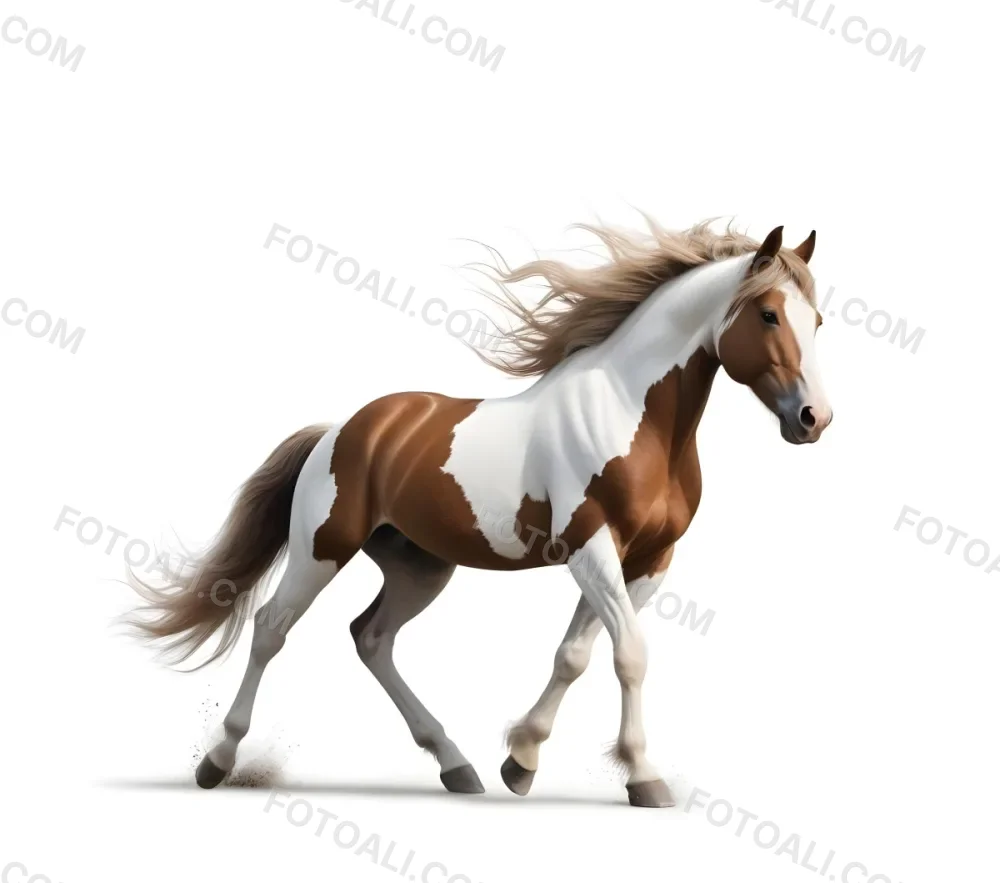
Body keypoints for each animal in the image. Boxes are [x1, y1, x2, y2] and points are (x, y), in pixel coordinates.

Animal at [126, 218, 833, 808]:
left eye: (819, 321)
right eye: (769, 314)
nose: (813, 420)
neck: (631, 415)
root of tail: (343, 430)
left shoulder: (648, 561)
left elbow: (575, 655)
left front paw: (520, 762)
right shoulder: (591, 548)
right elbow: (628, 653)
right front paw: (643, 779)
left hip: (420, 567)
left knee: (372, 638)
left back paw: (456, 766)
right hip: (321, 549)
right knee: (273, 628)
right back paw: (217, 761)